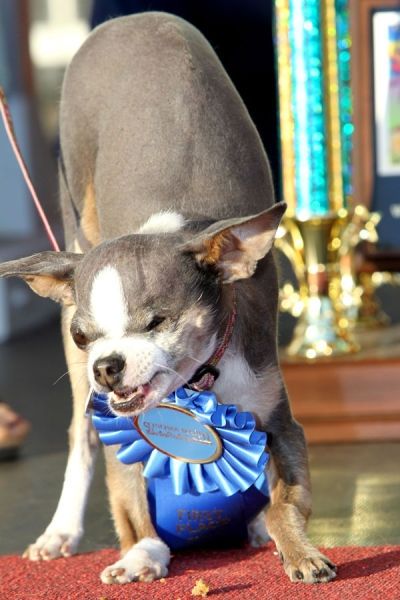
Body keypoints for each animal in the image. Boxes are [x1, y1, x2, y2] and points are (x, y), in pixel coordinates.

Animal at [0, 11, 336, 584]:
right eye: (84, 336)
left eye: (157, 322)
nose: (106, 365)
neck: (197, 383)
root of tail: (128, 19)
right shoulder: (117, 422)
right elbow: (130, 499)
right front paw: (142, 554)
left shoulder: (279, 421)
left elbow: (284, 503)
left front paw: (295, 548)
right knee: (80, 439)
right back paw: (61, 531)